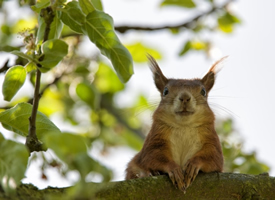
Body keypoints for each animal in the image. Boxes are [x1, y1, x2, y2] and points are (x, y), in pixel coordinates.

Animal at [126, 54, 225, 192]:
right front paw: (174, 169)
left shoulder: (211, 140)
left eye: (203, 91)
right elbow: (152, 156)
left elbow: (214, 158)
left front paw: (193, 165)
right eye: (165, 91)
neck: (184, 126)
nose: (185, 97)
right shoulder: (155, 140)